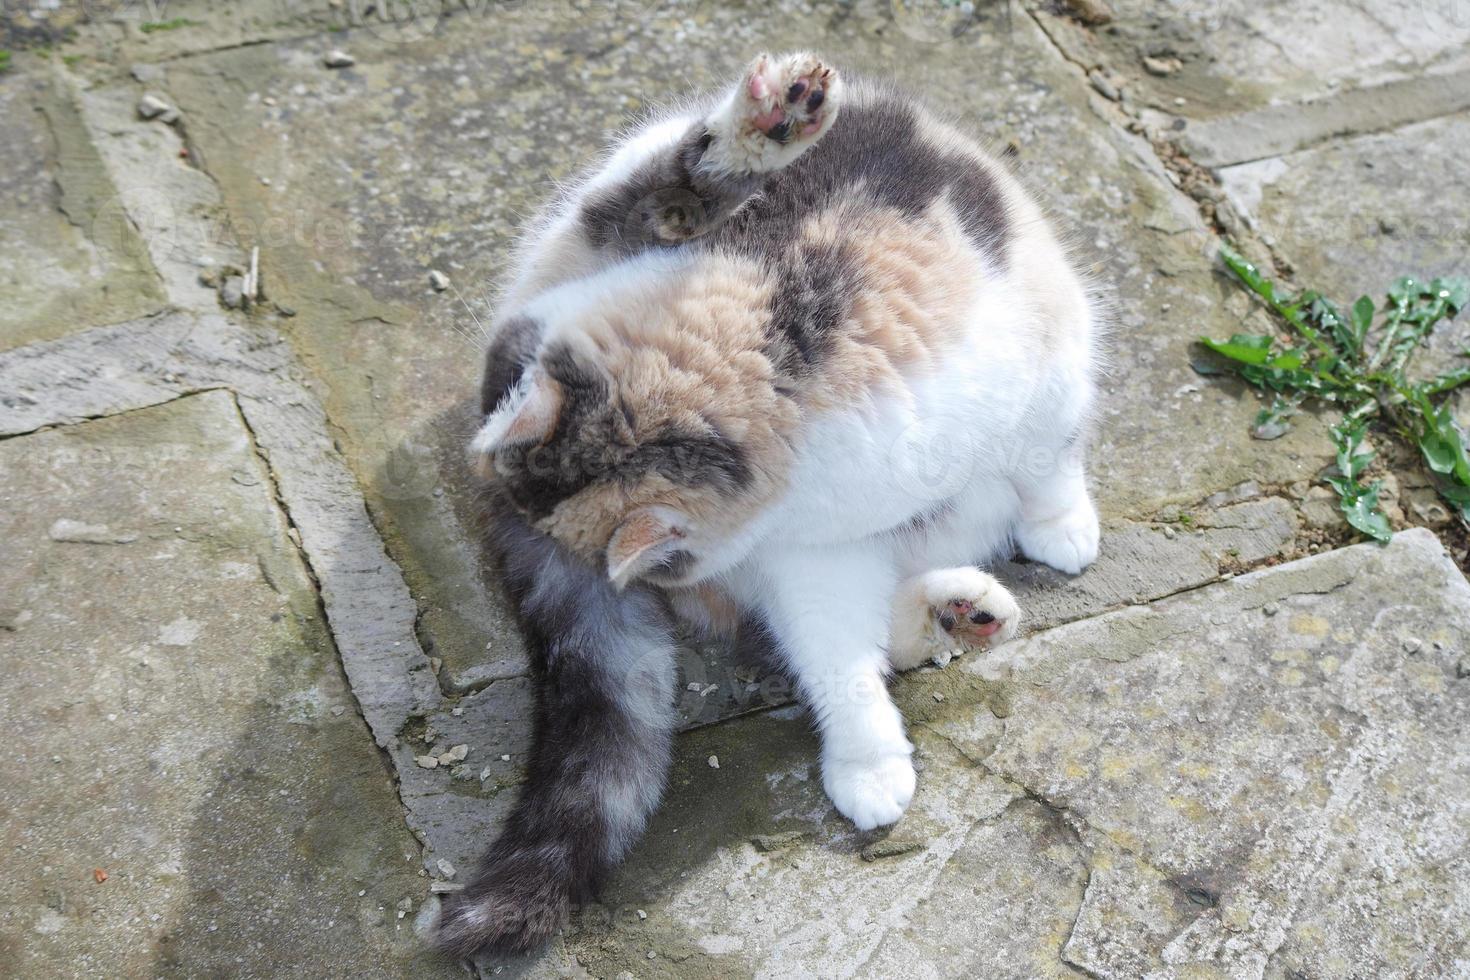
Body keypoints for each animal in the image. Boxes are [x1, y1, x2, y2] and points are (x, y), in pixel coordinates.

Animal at [435, 51, 1105, 957]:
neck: (795, 362)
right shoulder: (806, 557)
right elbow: (837, 660)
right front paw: (868, 766)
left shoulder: (1045, 352)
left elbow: (1046, 452)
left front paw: (1061, 525)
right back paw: (958, 615)